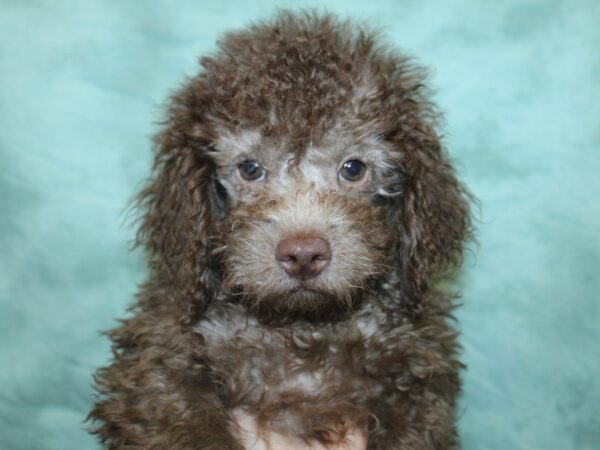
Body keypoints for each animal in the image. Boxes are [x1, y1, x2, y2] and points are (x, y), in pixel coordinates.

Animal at [89, 10, 474, 450]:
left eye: (353, 169)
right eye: (250, 169)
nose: (304, 254)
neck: (300, 326)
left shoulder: (417, 374)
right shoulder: (158, 363)